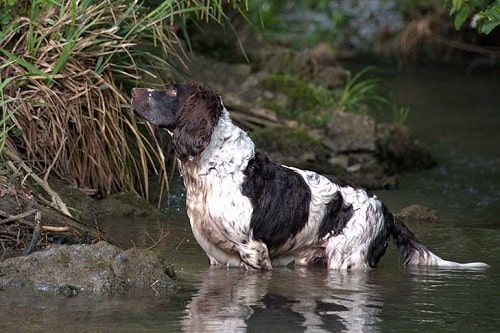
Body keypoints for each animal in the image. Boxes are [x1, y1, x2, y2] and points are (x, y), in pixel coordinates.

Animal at [132, 82, 488, 270]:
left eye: (173, 92)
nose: (134, 89)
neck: (213, 166)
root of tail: (386, 210)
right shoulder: (217, 258)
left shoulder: (253, 250)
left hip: (346, 261)